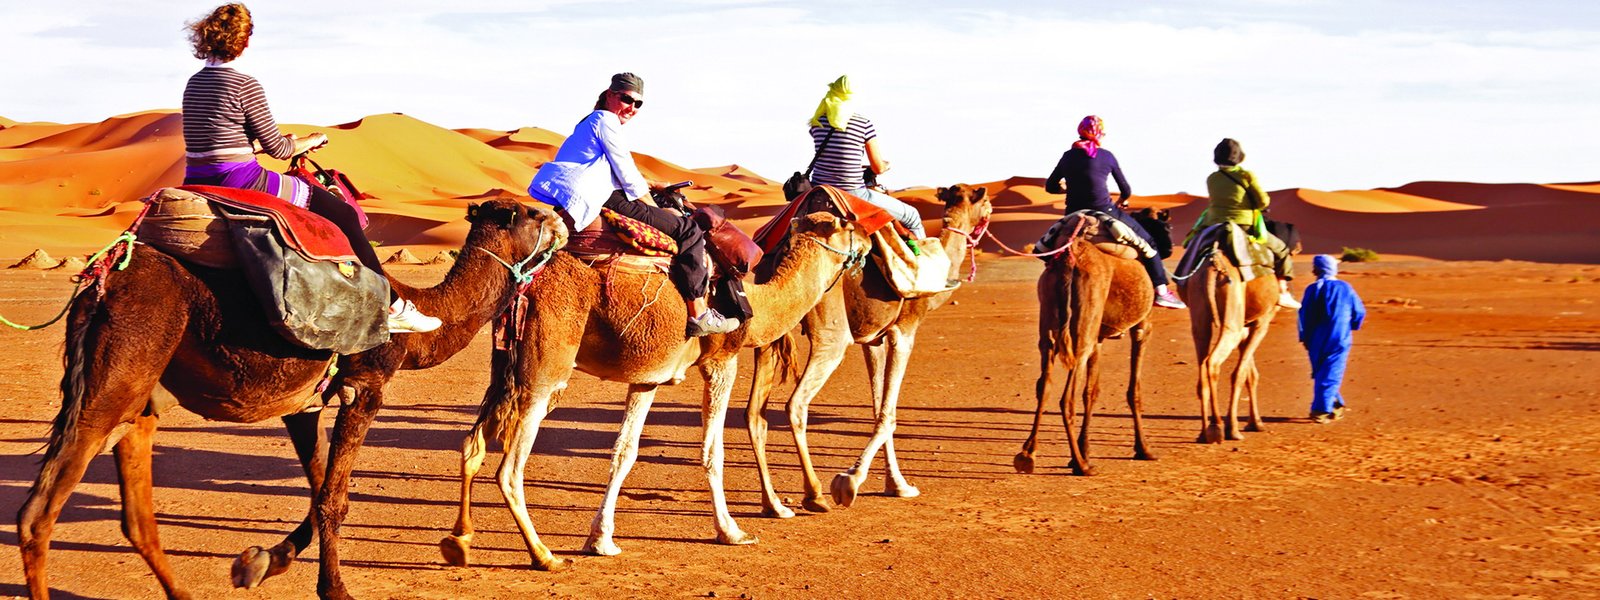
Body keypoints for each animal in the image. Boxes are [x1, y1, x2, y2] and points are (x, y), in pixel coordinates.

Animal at [16, 198, 566, 600]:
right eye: (533, 214)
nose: (562, 221)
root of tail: (102, 280)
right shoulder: (366, 387)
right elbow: (335, 498)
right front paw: (335, 589)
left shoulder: (307, 402)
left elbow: (321, 488)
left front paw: (261, 562)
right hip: (117, 374)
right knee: (39, 513)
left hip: (139, 398)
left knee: (136, 515)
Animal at [438, 212, 868, 570]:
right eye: (847, 225)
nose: (867, 237)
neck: (758, 304)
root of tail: (526, 284)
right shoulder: (721, 358)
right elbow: (713, 451)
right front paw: (732, 531)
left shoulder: (648, 377)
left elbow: (624, 452)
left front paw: (601, 540)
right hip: (544, 372)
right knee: (510, 469)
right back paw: (544, 555)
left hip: (505, 369)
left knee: (472, 445)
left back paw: (459, 541)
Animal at [744, 184, 993, 518]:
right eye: (987, 203)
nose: (988, 217)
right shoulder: (905, 329)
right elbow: (889, 413)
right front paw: (850, 481)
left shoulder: (874, 339)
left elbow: (877, 407)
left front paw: (897, 484)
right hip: (831, 331)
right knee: (796, 403)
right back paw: (814, 495)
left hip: (770, 328)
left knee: (754, 414)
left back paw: (773, 504)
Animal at [1012, 214, 1158, 476]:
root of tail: (1070, 259)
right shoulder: (1142, 327)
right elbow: (1134, 390)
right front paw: (1144, 449)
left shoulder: (1097, 337)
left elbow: (1091, 392)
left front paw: (1085, 450)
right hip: (1082, 329)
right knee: (1066, 398)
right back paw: (1082, 466)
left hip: (1052, 320)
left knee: (1044, 384)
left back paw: (1028, 455)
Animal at [1178, 229, 1281, 444]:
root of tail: (1214, 264)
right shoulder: (1262, 322)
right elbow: (1241, 373)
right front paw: (1234, 428)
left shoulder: (1246, 327)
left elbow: (1251, 374)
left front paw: (1255, 423)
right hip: (1232, 317)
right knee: (1212, 362)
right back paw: (1217, 427)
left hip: (1200, 309)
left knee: (1202, 363)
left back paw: (1204, 432)